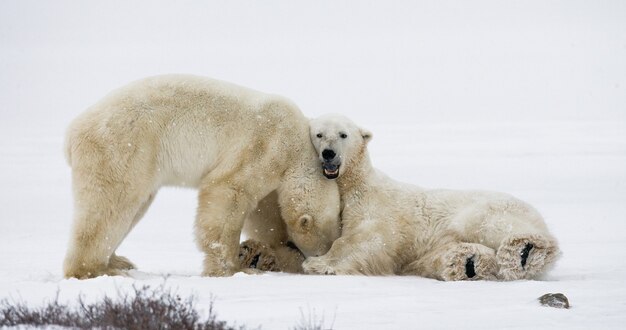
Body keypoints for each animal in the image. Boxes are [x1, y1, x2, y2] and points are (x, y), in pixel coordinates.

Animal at [62, 75, 342, 278]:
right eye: (326, 241)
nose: (315, 259)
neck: (300, 144)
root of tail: (73, 130)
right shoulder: (264, 146)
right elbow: (228, 190)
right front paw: (234, 267)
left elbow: (265, 214)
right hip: (124, 145)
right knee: (110, 205)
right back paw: (94, 269)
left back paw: (119, 262)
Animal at [300, 114, 560, 280]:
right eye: (319, 134)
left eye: (343, 134)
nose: (329, 153)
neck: (354, 185)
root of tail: (539, 216)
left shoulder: (377, 208)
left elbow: (367, 238)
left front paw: (318, 263)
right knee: (445, 255)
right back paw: (468, 264)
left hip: (488, 208)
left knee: (490, 225)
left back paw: (525, 250)